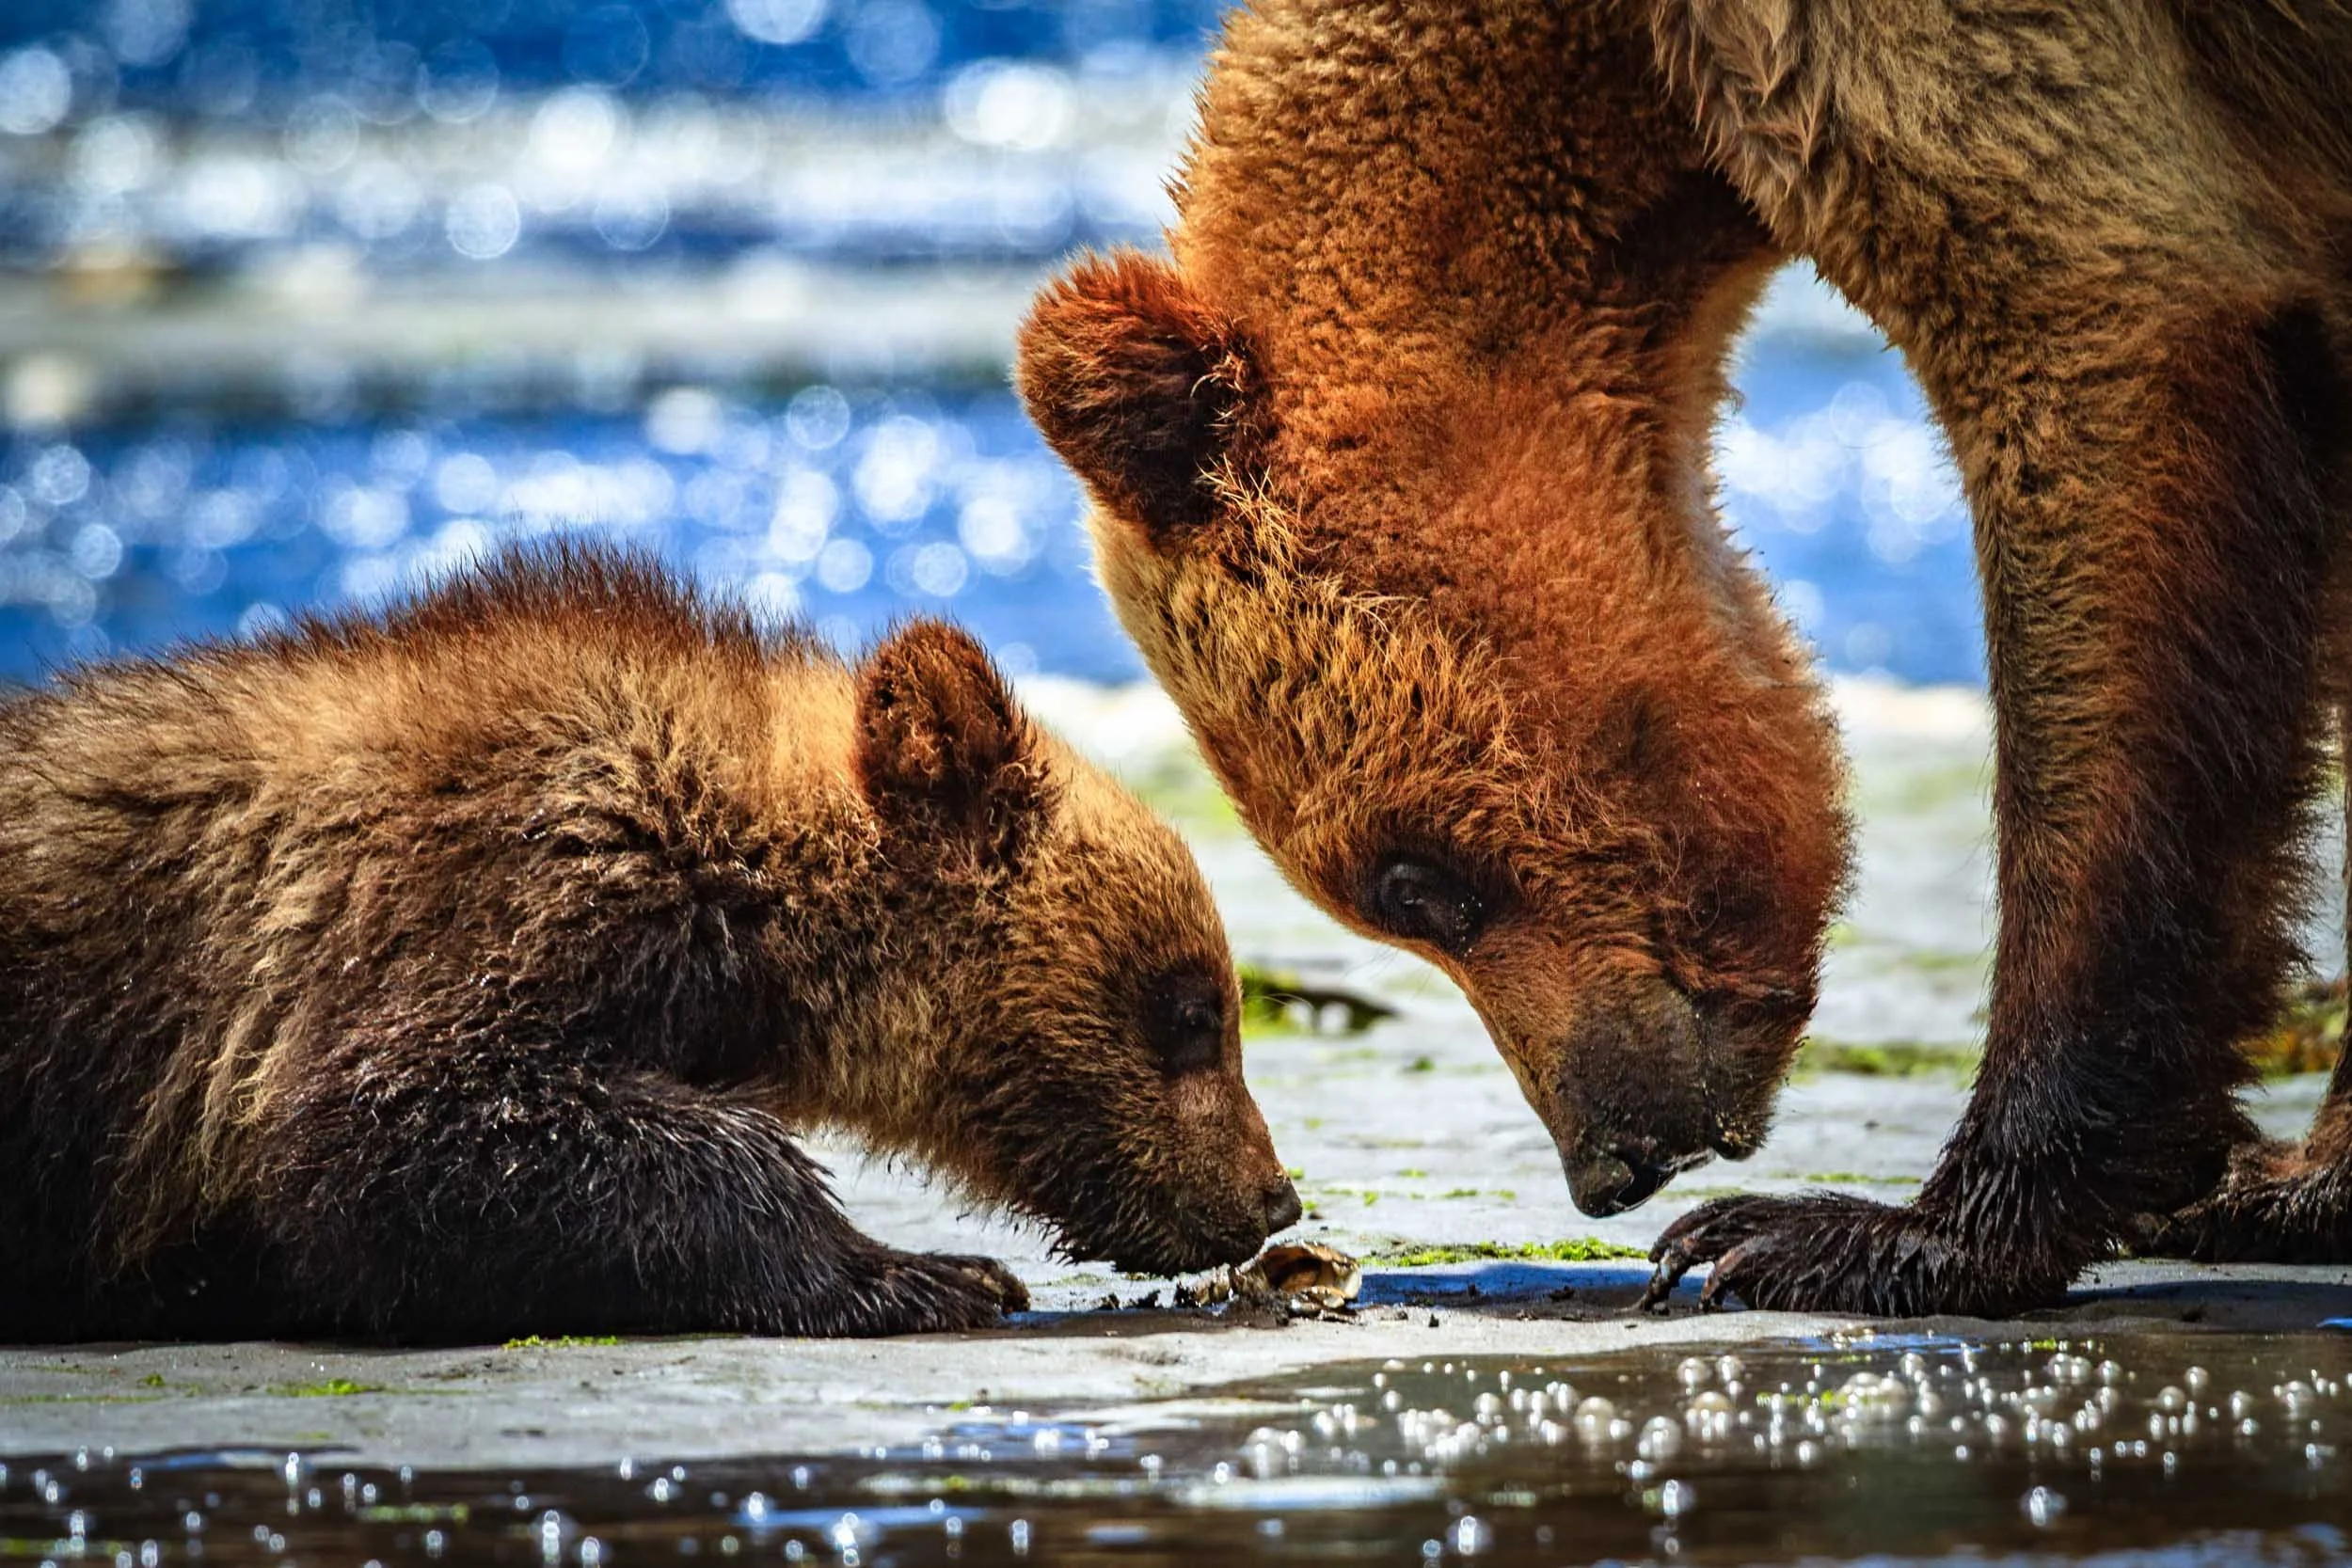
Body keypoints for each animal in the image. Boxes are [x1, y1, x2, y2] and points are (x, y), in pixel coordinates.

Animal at [1018, 0, 2352, 1316]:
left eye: (1412, 879)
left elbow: (2097, 362)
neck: (1611, 70)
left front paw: (1864, 1232)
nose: (1611, 1161)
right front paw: (2289, 1182)